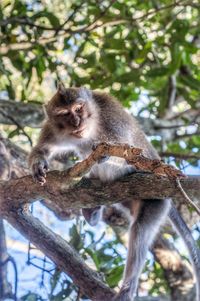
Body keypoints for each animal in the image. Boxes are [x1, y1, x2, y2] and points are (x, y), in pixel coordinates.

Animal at [28, 84, 200, 300]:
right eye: (64, 113)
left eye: (78, 109)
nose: (76, 122)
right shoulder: (53, 128)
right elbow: (42, 148)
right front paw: (38, 165)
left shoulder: (112, 117)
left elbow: (126, 151)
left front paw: (103, 153)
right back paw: (93, 210)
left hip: (157, 201)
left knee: (140, 231)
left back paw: (128, 288)